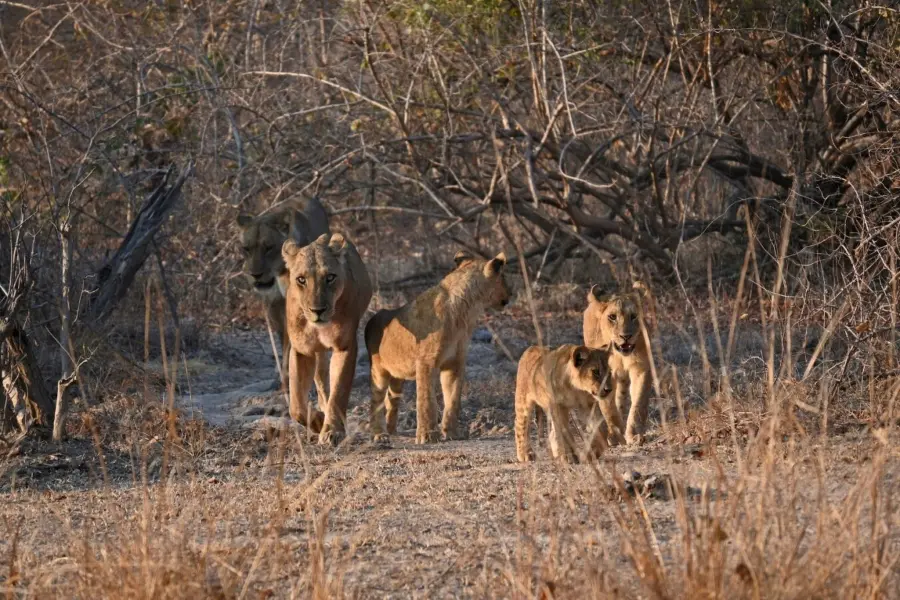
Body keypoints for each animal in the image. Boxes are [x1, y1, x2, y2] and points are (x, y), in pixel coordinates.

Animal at [362, 251, 510, 442]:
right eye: (503, 277)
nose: (511, 293)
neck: (466, 311)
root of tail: (372, 319)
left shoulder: (455, 362)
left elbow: (453, 400)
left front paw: (452, 433)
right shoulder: (426, 362)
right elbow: (426, 401)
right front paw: (427, 435)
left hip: (397, 376)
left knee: (391, 400)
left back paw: (391, 430)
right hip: (378, 370)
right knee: (376, 401)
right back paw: (379, 434)